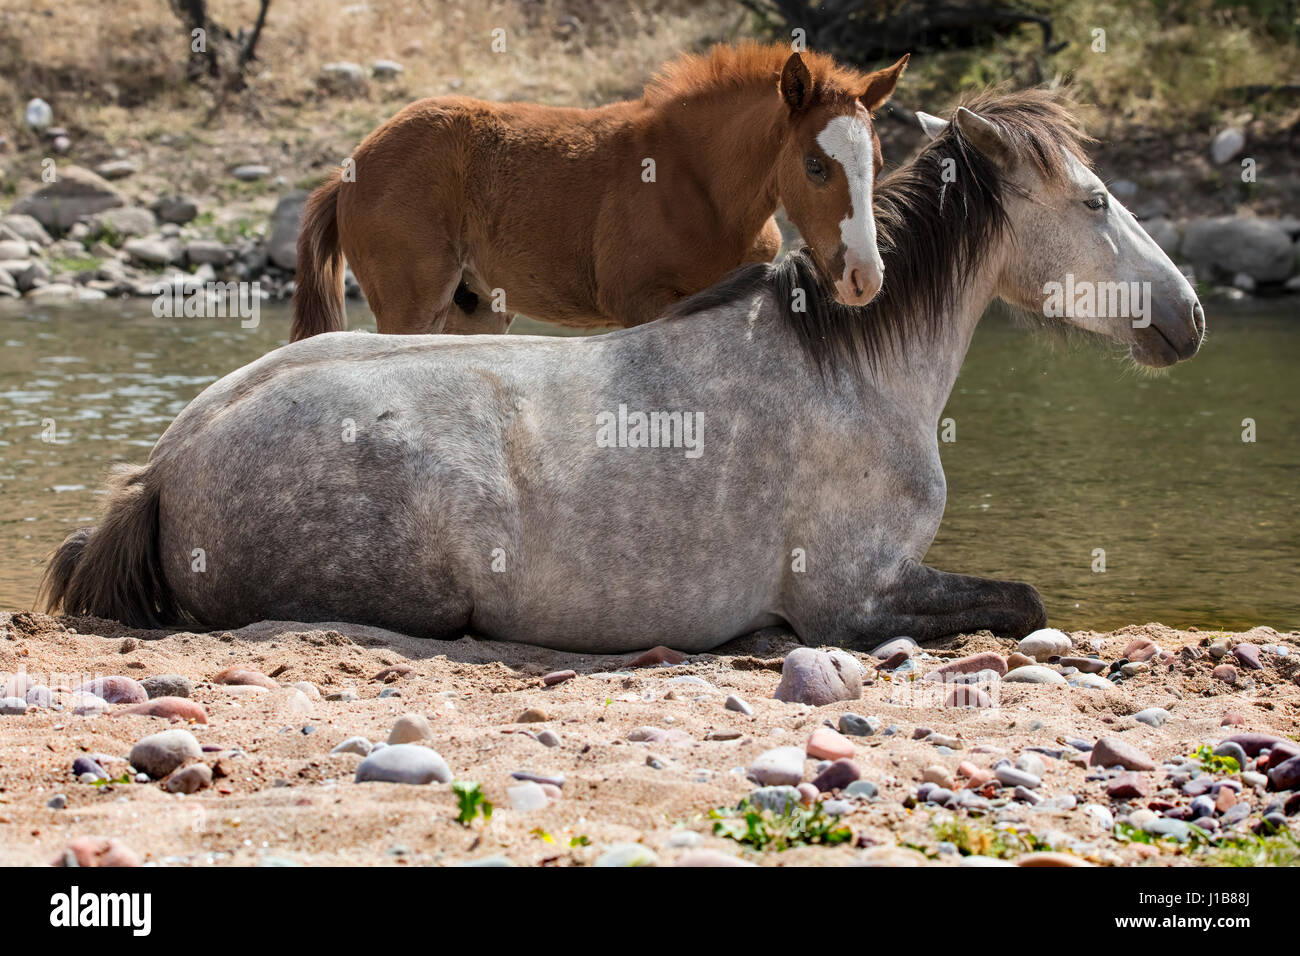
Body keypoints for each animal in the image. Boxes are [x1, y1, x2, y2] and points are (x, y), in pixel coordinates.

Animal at [40, 89, 1201, 655]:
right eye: (1096, 200)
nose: (1187, 318)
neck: (852, 371)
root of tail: (162, 469)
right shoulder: (853, 597)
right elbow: (1023, 594)